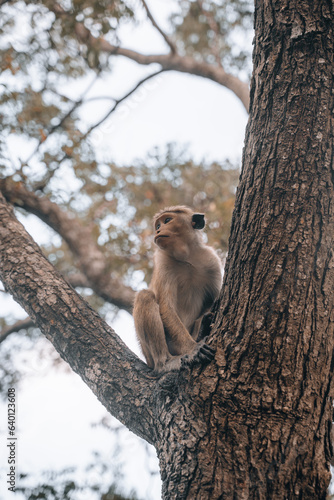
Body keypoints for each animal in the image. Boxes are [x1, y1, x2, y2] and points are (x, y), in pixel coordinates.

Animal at [132, 205, 222, 374]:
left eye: (167, 220)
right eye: (158, 226)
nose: (158, 231)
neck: (186, 257)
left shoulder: (211, 261)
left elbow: (215, 298)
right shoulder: (163, 262)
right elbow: (166, 308)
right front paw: (193, 349)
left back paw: (201, 330)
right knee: (144, 296)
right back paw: (165, 362)